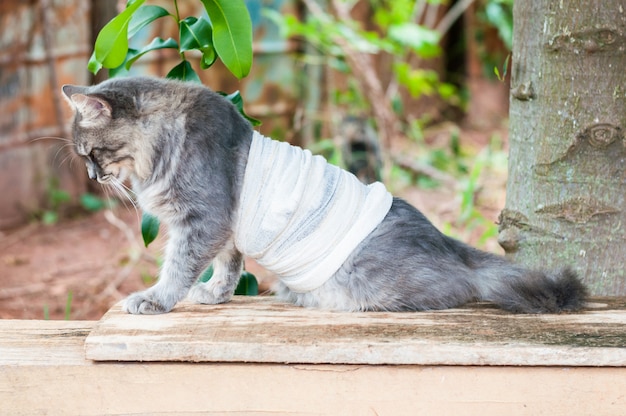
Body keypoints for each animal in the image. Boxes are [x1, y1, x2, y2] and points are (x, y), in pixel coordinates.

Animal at [62, 76, 584, 314]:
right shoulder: (226, 229)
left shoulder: (201, 219)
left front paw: (155, 300)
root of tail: (446, 243)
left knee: (462, 289)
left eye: (90, 152)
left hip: (370, 277)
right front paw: (213, 294)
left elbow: (176, 268)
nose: (92, 176)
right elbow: (228, 267)